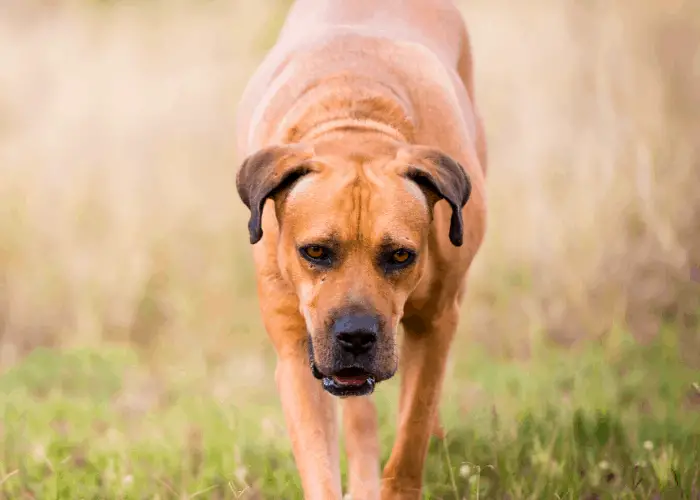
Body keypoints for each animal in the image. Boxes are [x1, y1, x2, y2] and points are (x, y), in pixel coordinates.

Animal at [235, 1, 486, 498]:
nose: (355, 336)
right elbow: (321, 463)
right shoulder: (297, 352)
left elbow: (411, 431)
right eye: (314, 251)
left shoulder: (434, 325)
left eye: (401, 255)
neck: (355, 121)